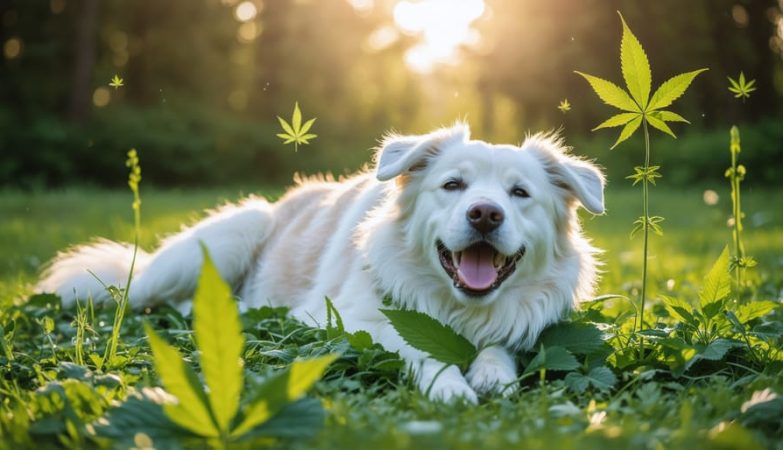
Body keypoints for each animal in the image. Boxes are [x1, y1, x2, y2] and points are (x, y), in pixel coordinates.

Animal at [38, 124, 608, 404]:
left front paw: (493, 375)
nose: (485, 214)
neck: (459, 306)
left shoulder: (522, 321)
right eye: (453, 185)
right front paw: (449, 384)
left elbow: (498, 346)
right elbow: (418, 345)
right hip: (225, 237)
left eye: (519, 194)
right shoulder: (345, 320)